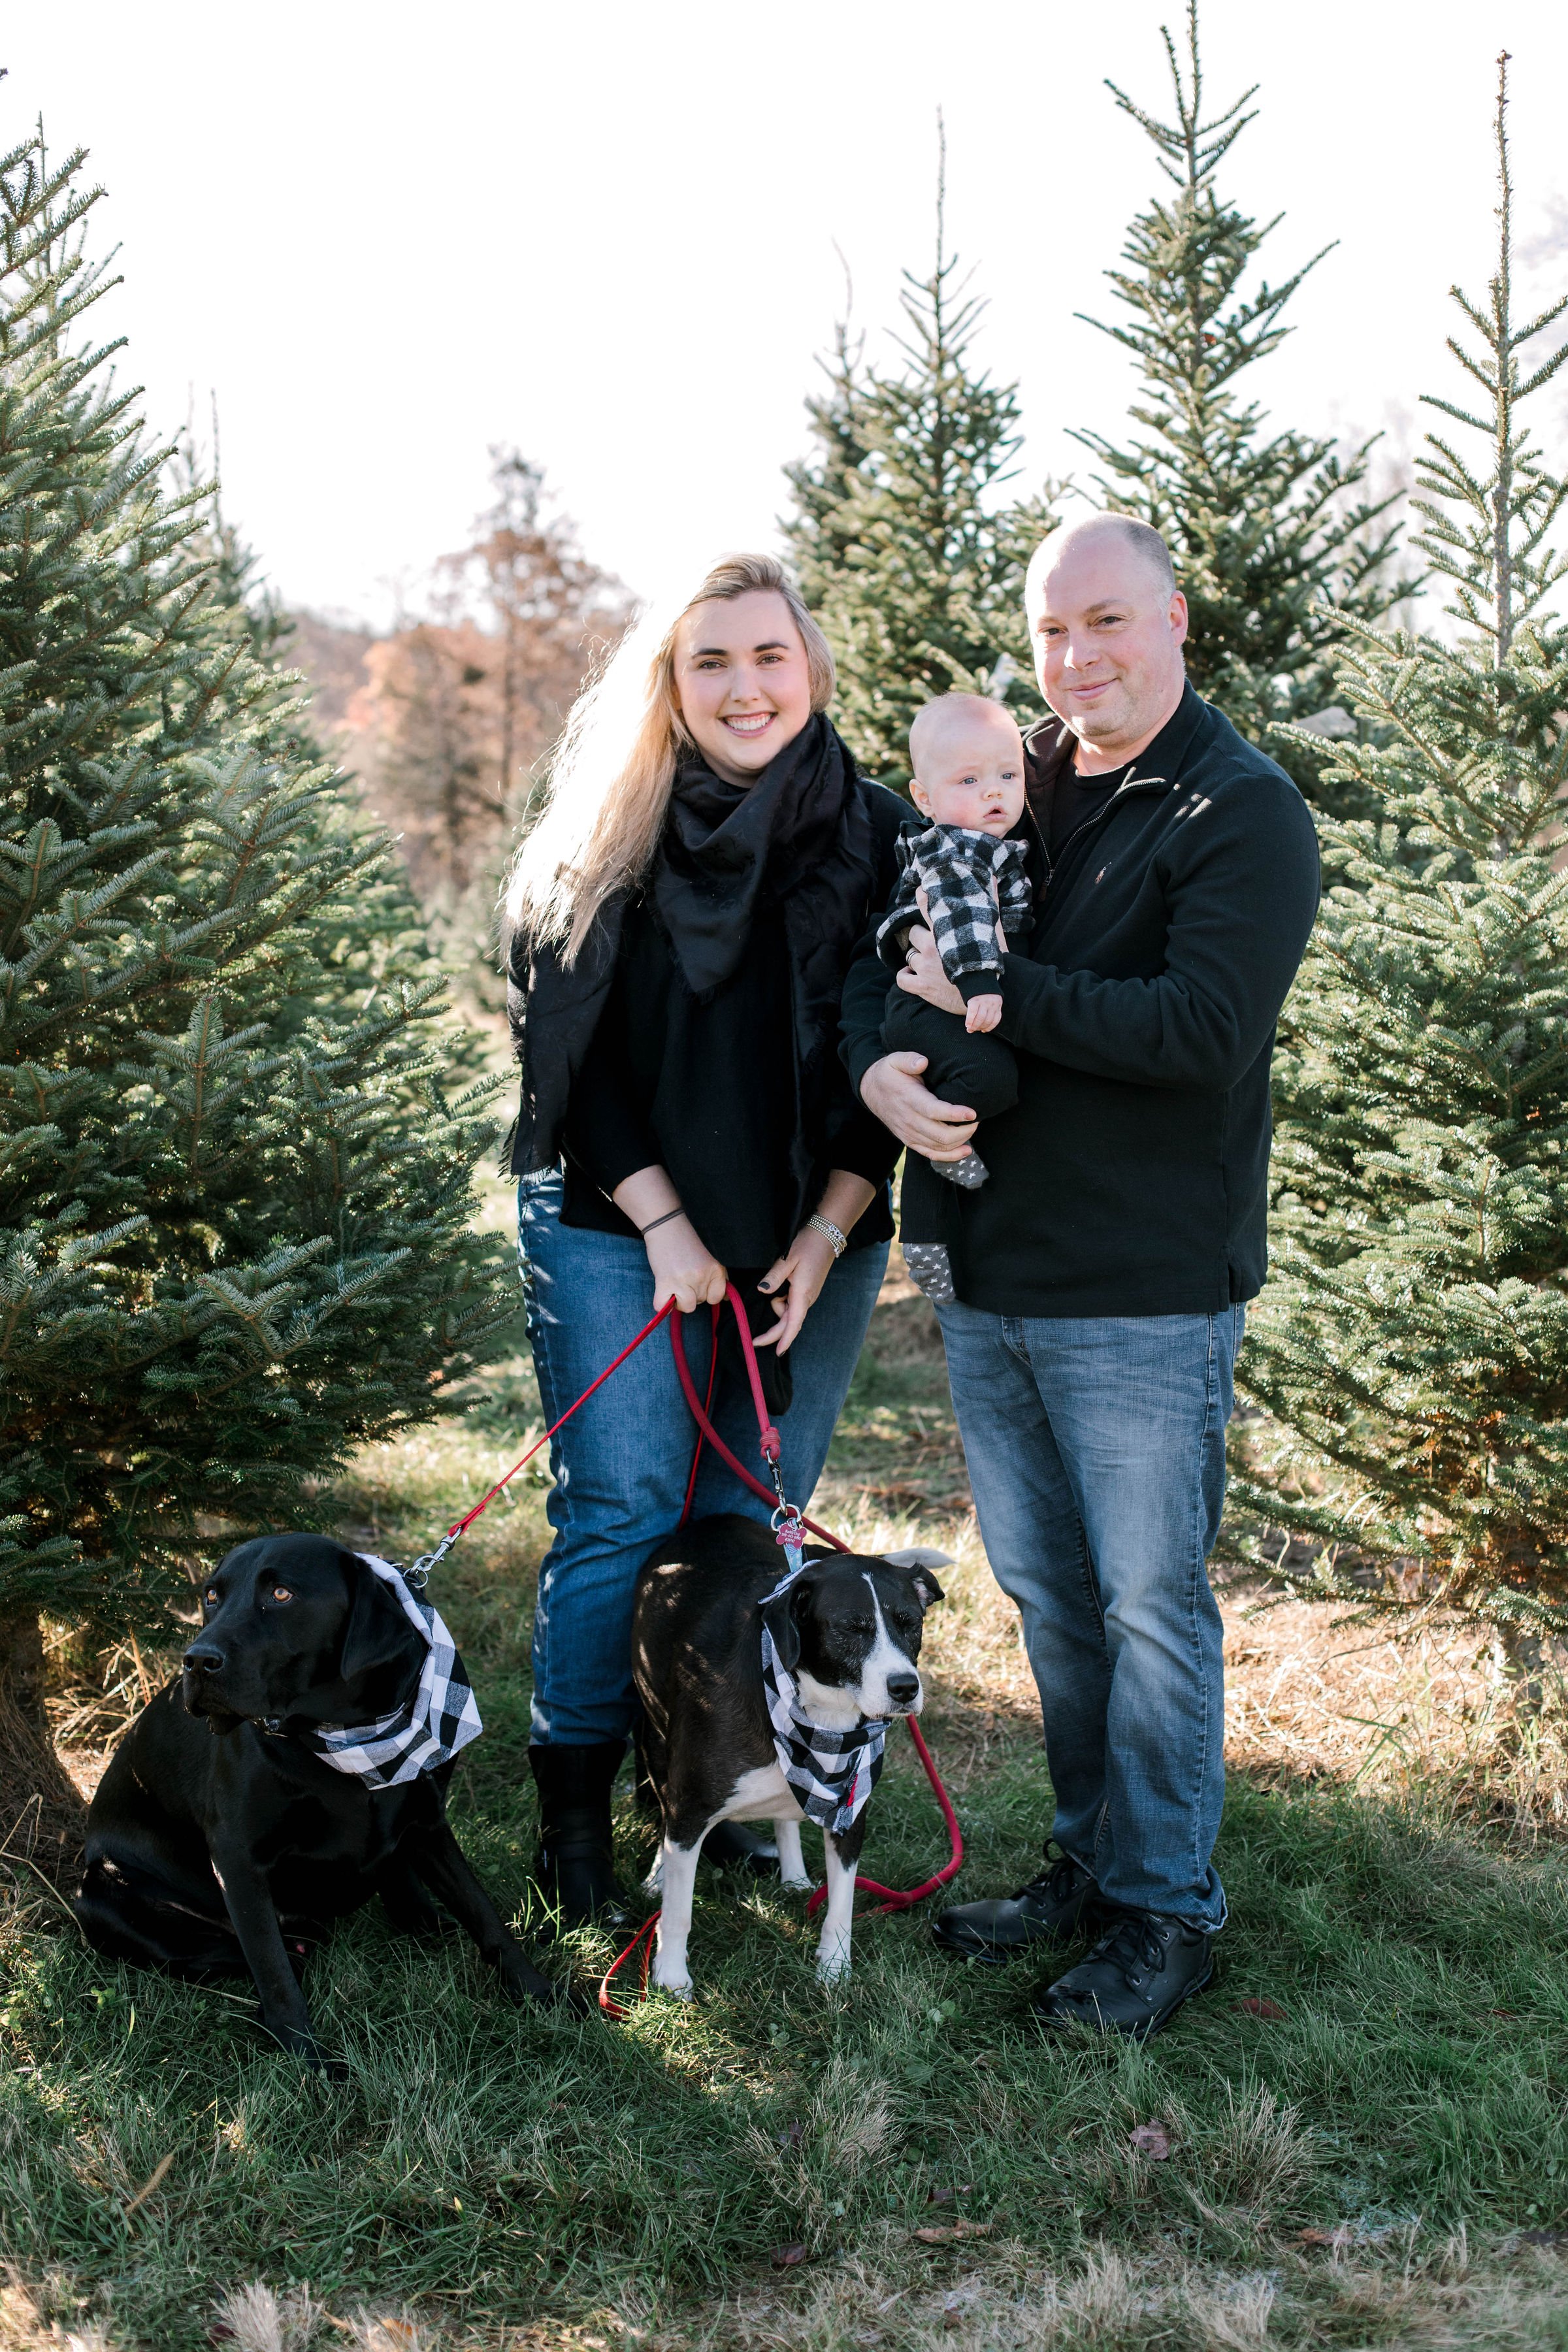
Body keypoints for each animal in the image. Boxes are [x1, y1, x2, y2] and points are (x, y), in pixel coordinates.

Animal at [630, 1514, 949, 1994]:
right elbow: (679, 1908)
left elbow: (841, 1902)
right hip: (653, 1733)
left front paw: (834, 1967)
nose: (905, 1687)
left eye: (909, 1623)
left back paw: (794, 1875)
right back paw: (658, 1875)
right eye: (850, 1628)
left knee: (787, 1812)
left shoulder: (849, 1811)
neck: (820, 1718)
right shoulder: (690, 1808)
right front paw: (670, 1976)